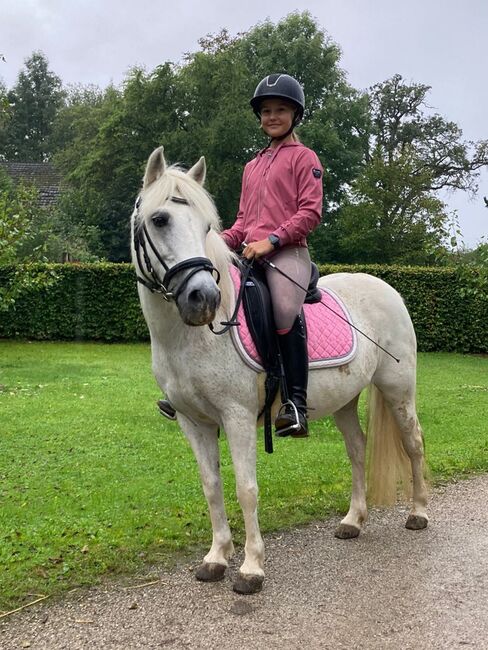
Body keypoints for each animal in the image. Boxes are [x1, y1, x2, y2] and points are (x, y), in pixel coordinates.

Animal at [132, 147, 428, 592]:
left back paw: (419, 513)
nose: (203, 298)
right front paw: (216, 558)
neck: (190, 339)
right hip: (345, 400)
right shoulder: (193, 421)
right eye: (160, 219)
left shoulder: (236, 417)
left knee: (413, 442)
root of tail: (386, 287)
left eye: (206, 226)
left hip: (398, 390)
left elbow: (246, 488)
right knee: (357, 449)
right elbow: (212, 487)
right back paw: (353, 521)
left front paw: (251, 567)